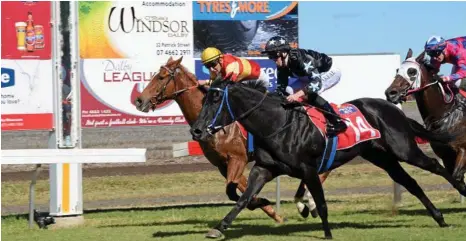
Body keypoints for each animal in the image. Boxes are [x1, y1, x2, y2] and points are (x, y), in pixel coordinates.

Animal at [134, 56, 324, 222]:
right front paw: (270, 210)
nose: (139, 100)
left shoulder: (238, 158)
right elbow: (237, 190)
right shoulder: (222, 164)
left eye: (160, 77)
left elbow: (237, 190)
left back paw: (310, 204)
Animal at [189, 78, 466, 239]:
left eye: (216, 99)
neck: (277, 124)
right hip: (382, 157)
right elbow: (243, 199)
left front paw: (327, 232)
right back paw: (439, 218)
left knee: (435, 167)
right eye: (204, 99)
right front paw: (220, 227)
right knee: (411, 183)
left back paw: (460, 189)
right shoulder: (264, 168)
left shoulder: (308, 169)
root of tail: (391, 108)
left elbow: (321, 204)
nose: (197, 130)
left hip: (403, 149)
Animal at [386, 50, 466, 184]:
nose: (390, 93)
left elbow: (457, 178)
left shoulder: (463, 151)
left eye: (412, 71)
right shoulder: (446, 156)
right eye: (397, 70)